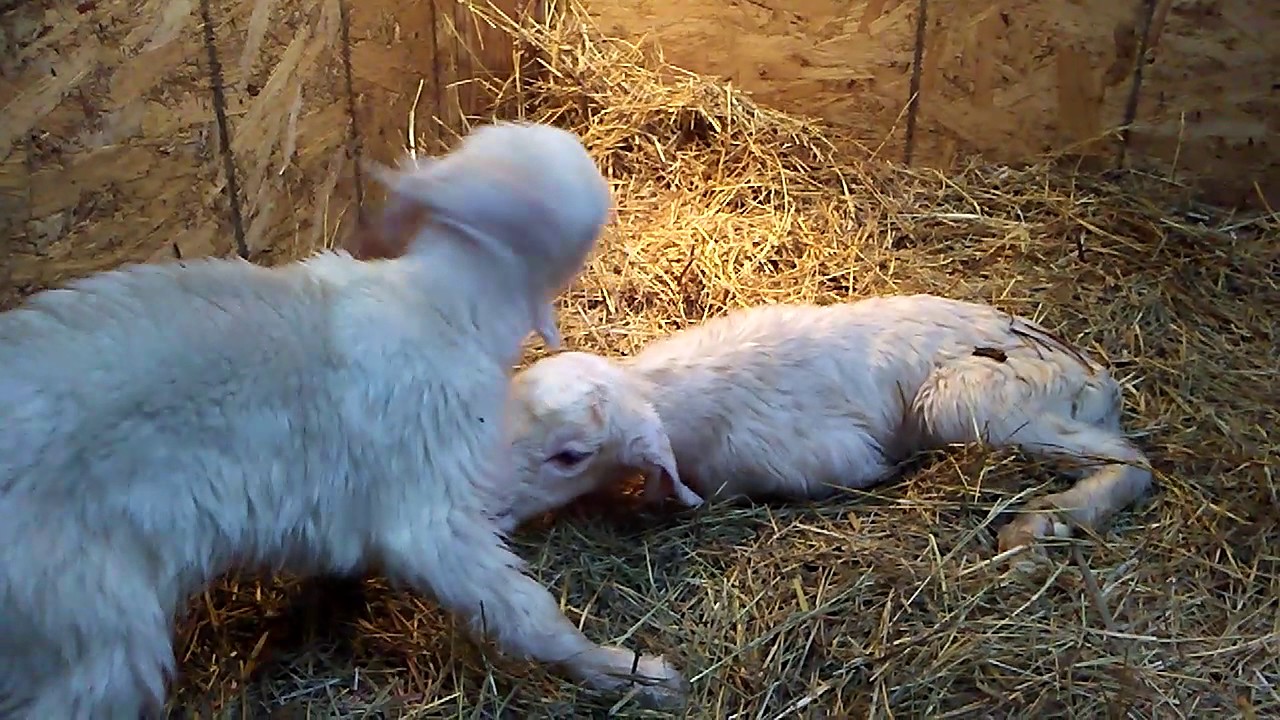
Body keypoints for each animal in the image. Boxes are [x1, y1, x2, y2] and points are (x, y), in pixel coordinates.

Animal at [498, 295, 1152, 552]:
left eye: (571, 455)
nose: (488, 508)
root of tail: (1096, 377)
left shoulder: (825, 460)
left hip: (973, 402)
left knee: (1134, 463)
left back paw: (1040, 525)